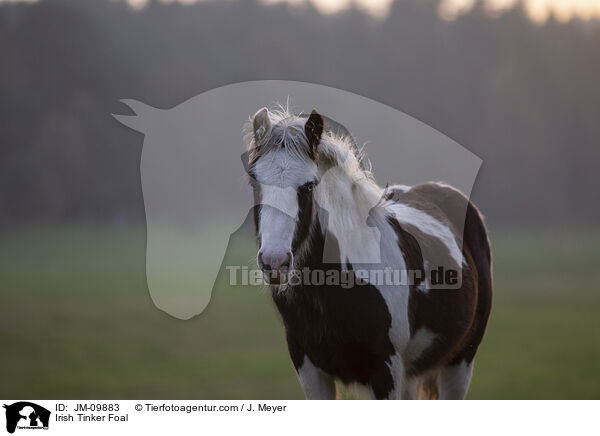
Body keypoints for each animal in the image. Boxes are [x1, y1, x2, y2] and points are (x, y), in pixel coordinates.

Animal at [244, 105, 492, 398]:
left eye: (309, 185)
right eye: (254, 182)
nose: (274, 262)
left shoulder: (386, 372)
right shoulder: (309, 367)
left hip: (460, 363)